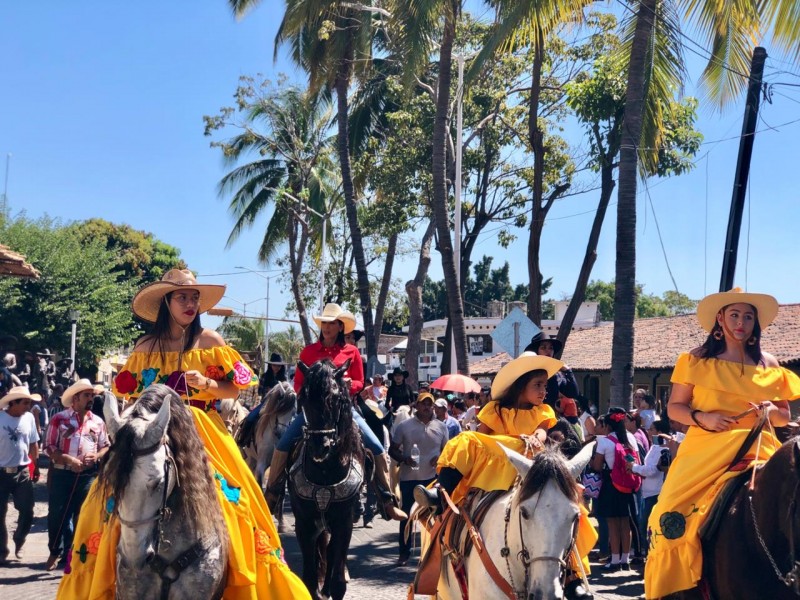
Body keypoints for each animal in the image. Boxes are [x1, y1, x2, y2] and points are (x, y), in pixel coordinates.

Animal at [290, 358, 364, 600]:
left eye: (336, 399)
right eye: (303, 398)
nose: (319, 447)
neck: (325, 473)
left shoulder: (344, 523)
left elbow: (339, 582)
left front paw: (332, 587)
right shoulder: (304, 523)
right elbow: (309, 581)